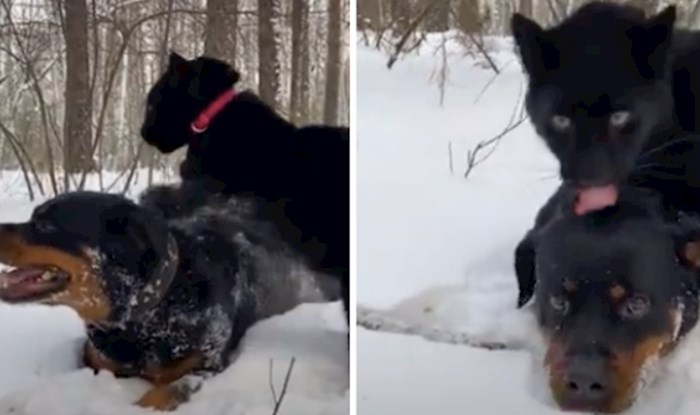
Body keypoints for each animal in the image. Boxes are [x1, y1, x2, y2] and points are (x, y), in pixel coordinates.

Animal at [140, 52, 350, 324]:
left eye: (152, 103)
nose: (143, 132)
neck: (210, 120)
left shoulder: (211, 192)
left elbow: (176, 199)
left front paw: (152, 196)